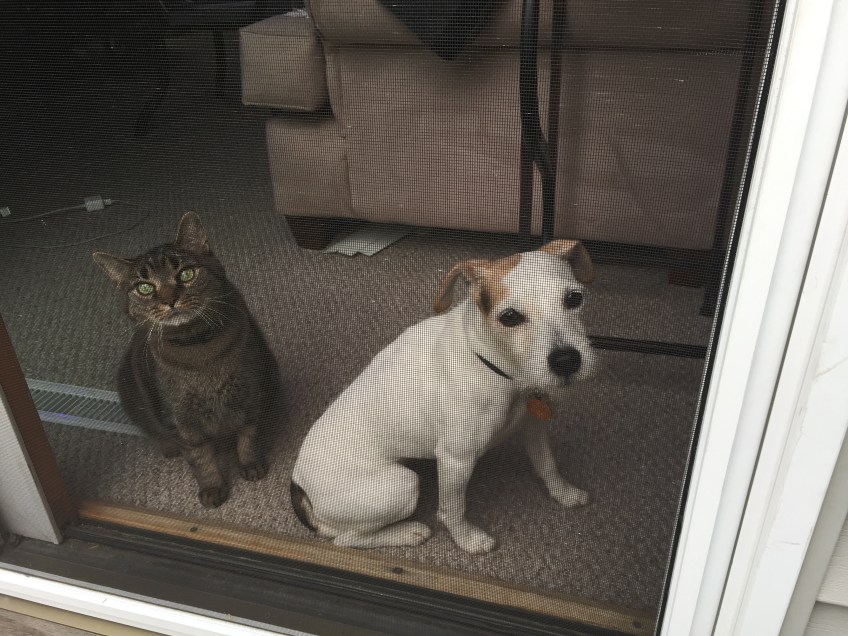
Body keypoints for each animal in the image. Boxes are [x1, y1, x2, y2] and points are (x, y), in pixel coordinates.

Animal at [93, 212, 280, 508]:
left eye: (186, 273)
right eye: (144, 287)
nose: (170, 300)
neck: (199, 350)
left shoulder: (252, 393)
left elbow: (248, 438)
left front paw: (251, 465)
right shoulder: (180, 420)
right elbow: (200, 459)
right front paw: (213, 488)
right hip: (130, 391)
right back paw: (168, 447)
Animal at [290, 240, 597, 554]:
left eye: (574, 298)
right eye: (510, 317)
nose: (566, 361)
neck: (499, 368)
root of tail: (299, 485)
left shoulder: (533, 426)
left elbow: (548, 465)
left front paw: (564, 493)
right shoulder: (455, 459)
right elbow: (452, 509)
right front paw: (467, 540)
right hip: (401, 484)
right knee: (346, 539)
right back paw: (408, 532)